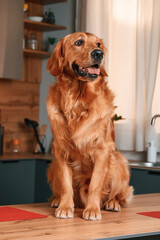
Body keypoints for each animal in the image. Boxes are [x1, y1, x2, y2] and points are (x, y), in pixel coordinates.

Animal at [46, 32, 132, 221]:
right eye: (78, 42)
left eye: (98, 44)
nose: (99, 54)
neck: (78, 101)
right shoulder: (61, 151)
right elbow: (66, 184)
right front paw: (65, 207)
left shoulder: (102, 150)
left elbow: (95, 185)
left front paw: (92, 210)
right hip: (53, 166)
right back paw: (56, 200)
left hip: (119, 162)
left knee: (118, 195)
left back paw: (112, 203)